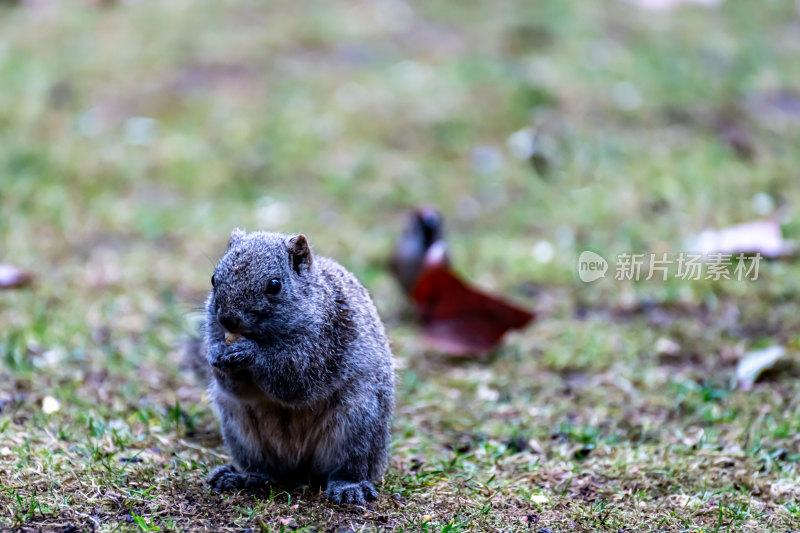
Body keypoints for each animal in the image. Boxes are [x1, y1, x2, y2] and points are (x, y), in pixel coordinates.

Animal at [202, 228, 396, 502]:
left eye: (274, 285)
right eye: (213, 279)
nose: (228, 320)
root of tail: (299, 466)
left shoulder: (325, 342)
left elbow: (295, 376)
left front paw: (250, 353)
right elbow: (236, 387)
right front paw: (216, 354)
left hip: (358, 422)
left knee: (349, 466)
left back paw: (349, 487)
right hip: (241, 429)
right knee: (266, 469)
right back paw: (242, 477)